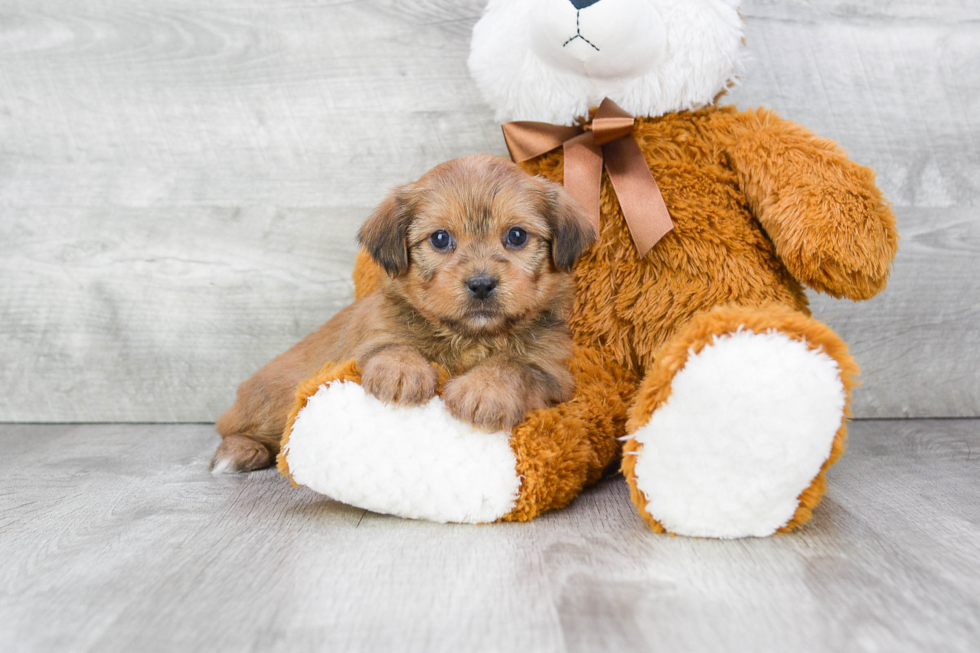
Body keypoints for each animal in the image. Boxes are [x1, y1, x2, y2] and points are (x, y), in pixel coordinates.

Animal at [213, 156, 592, 476]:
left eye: (516, 235)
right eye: (440, 238)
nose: (482, 284)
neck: (468, 337)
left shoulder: (552, 372)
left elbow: (512, 364)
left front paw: (484, 390)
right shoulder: (371, 338)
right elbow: (393, 347)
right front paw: (402, 373)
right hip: (272, 401)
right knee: (235, 429)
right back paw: (239, 452)